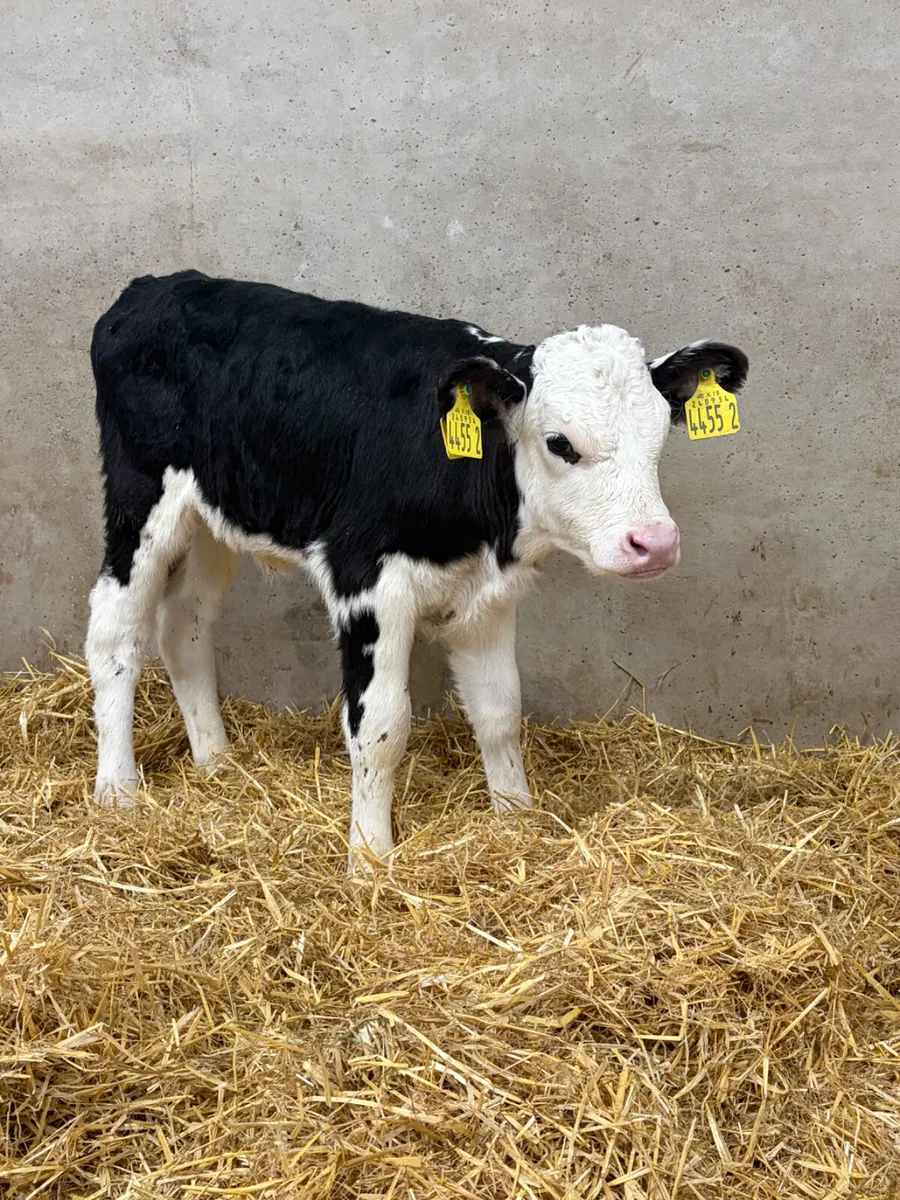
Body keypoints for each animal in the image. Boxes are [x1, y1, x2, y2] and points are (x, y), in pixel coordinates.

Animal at [85, 270, 748, 868]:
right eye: (561, 443)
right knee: (113, 632)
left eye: (660, 434)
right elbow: (379, 728)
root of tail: (154, 286)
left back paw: (217, 761)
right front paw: (369, 857)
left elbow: (500, 710)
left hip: (214, 517)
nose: (654, 543)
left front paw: (516, 819)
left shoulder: (488, 596)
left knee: (184, 626)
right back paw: (117, 790)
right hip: (140, 498)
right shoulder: (366, 583)